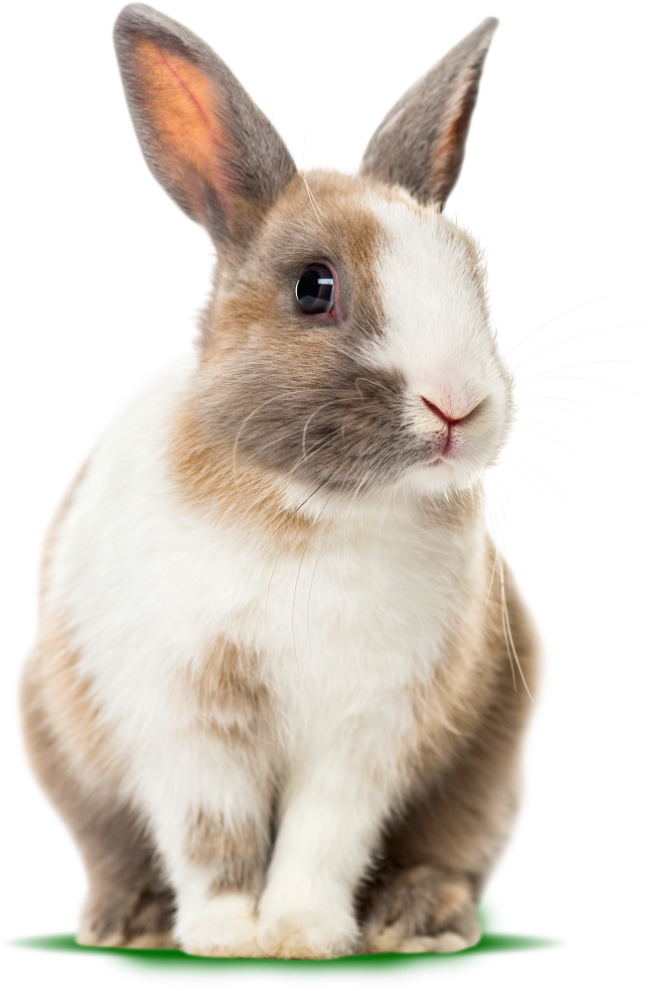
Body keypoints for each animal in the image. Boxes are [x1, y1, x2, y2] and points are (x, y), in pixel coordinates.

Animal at [12, 1, 549, 960]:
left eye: (471, 275)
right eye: (314, 287)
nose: (458, 406)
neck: (312, 507)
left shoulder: (366, 731)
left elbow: (322, 834)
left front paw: (300, 932)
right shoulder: (188, 721)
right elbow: (211, 833)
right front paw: (229, 934)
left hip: (493, 770)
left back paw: (416, 919)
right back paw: (123, 921)